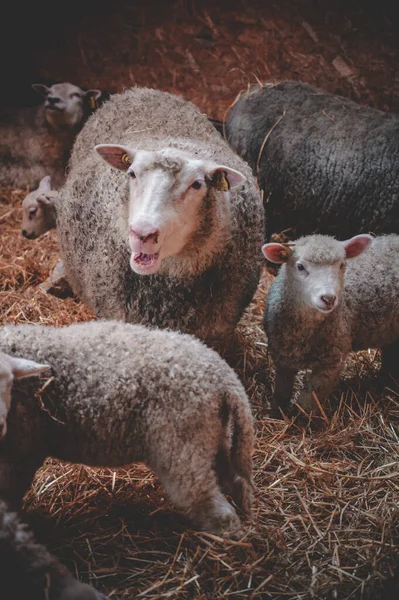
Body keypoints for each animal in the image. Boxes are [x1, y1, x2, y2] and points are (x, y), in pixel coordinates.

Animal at [0, 322, 256, 536]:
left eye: (7, 384)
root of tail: (225, 378)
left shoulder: (19, 452)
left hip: (182, 449)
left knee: (211, 506)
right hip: (212, 437)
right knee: (234, 480)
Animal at [262, 232, 399, 414]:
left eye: (342, 265)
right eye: (300, 267)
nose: (328, 299)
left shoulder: (331, 364)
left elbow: (307, 402)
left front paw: (300, 419)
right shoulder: (283, 358)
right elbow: (281, 392)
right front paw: (276, 413)